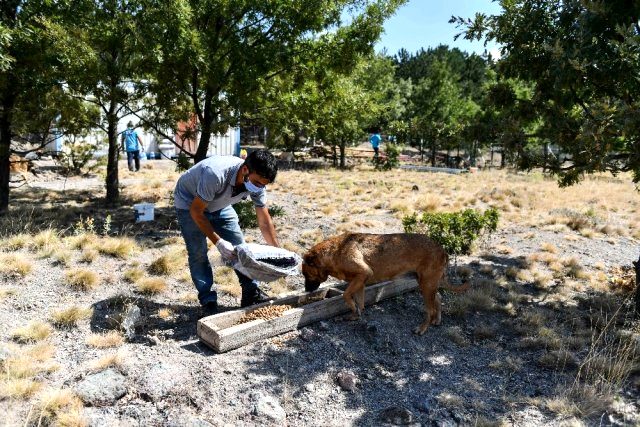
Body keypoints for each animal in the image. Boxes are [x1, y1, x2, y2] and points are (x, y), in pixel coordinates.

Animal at [302, 234, 468, 334]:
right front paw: (355, 315)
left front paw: (353, 310)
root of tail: (442, 250)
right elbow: (359, 302)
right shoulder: (360, 281)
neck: (334, 252)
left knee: (430, 309)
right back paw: (437, 320)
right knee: (438, 297)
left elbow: (346, 295)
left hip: (426, 285)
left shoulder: (363, 274)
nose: (306, 291)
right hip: (427, 282)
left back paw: (422, 328)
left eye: (305, 274)